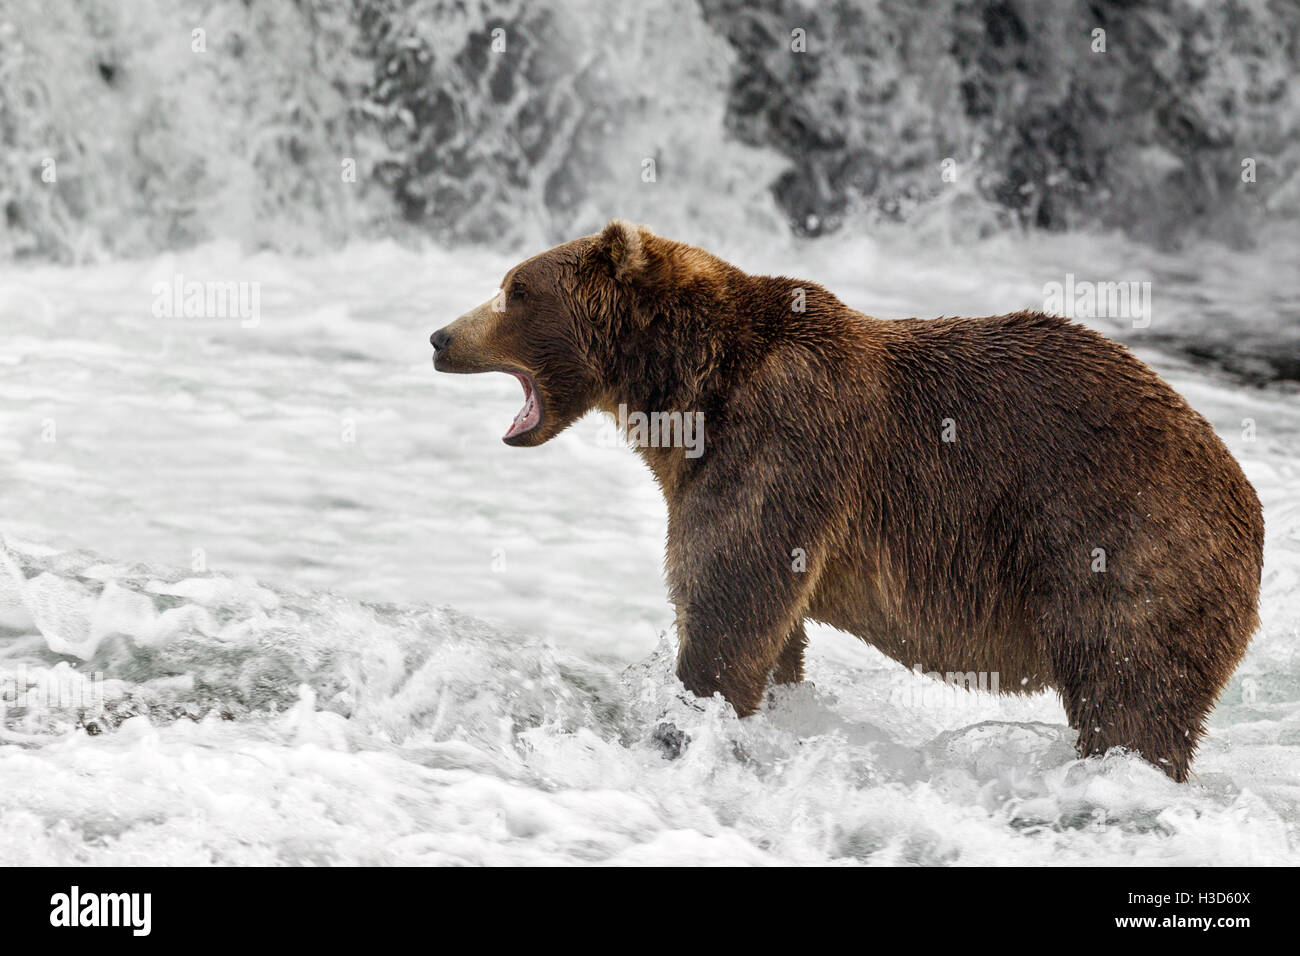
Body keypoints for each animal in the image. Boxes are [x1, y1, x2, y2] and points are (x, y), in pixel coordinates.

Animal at [431, 221, 1263, 780]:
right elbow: (770, 633)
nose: (440, 336)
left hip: (1125, 552)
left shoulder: (780, 446)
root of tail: (1248, 506)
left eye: (515, 289)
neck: (685, 392)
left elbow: (725, 615)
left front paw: (680, 724)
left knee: (1130, 702)